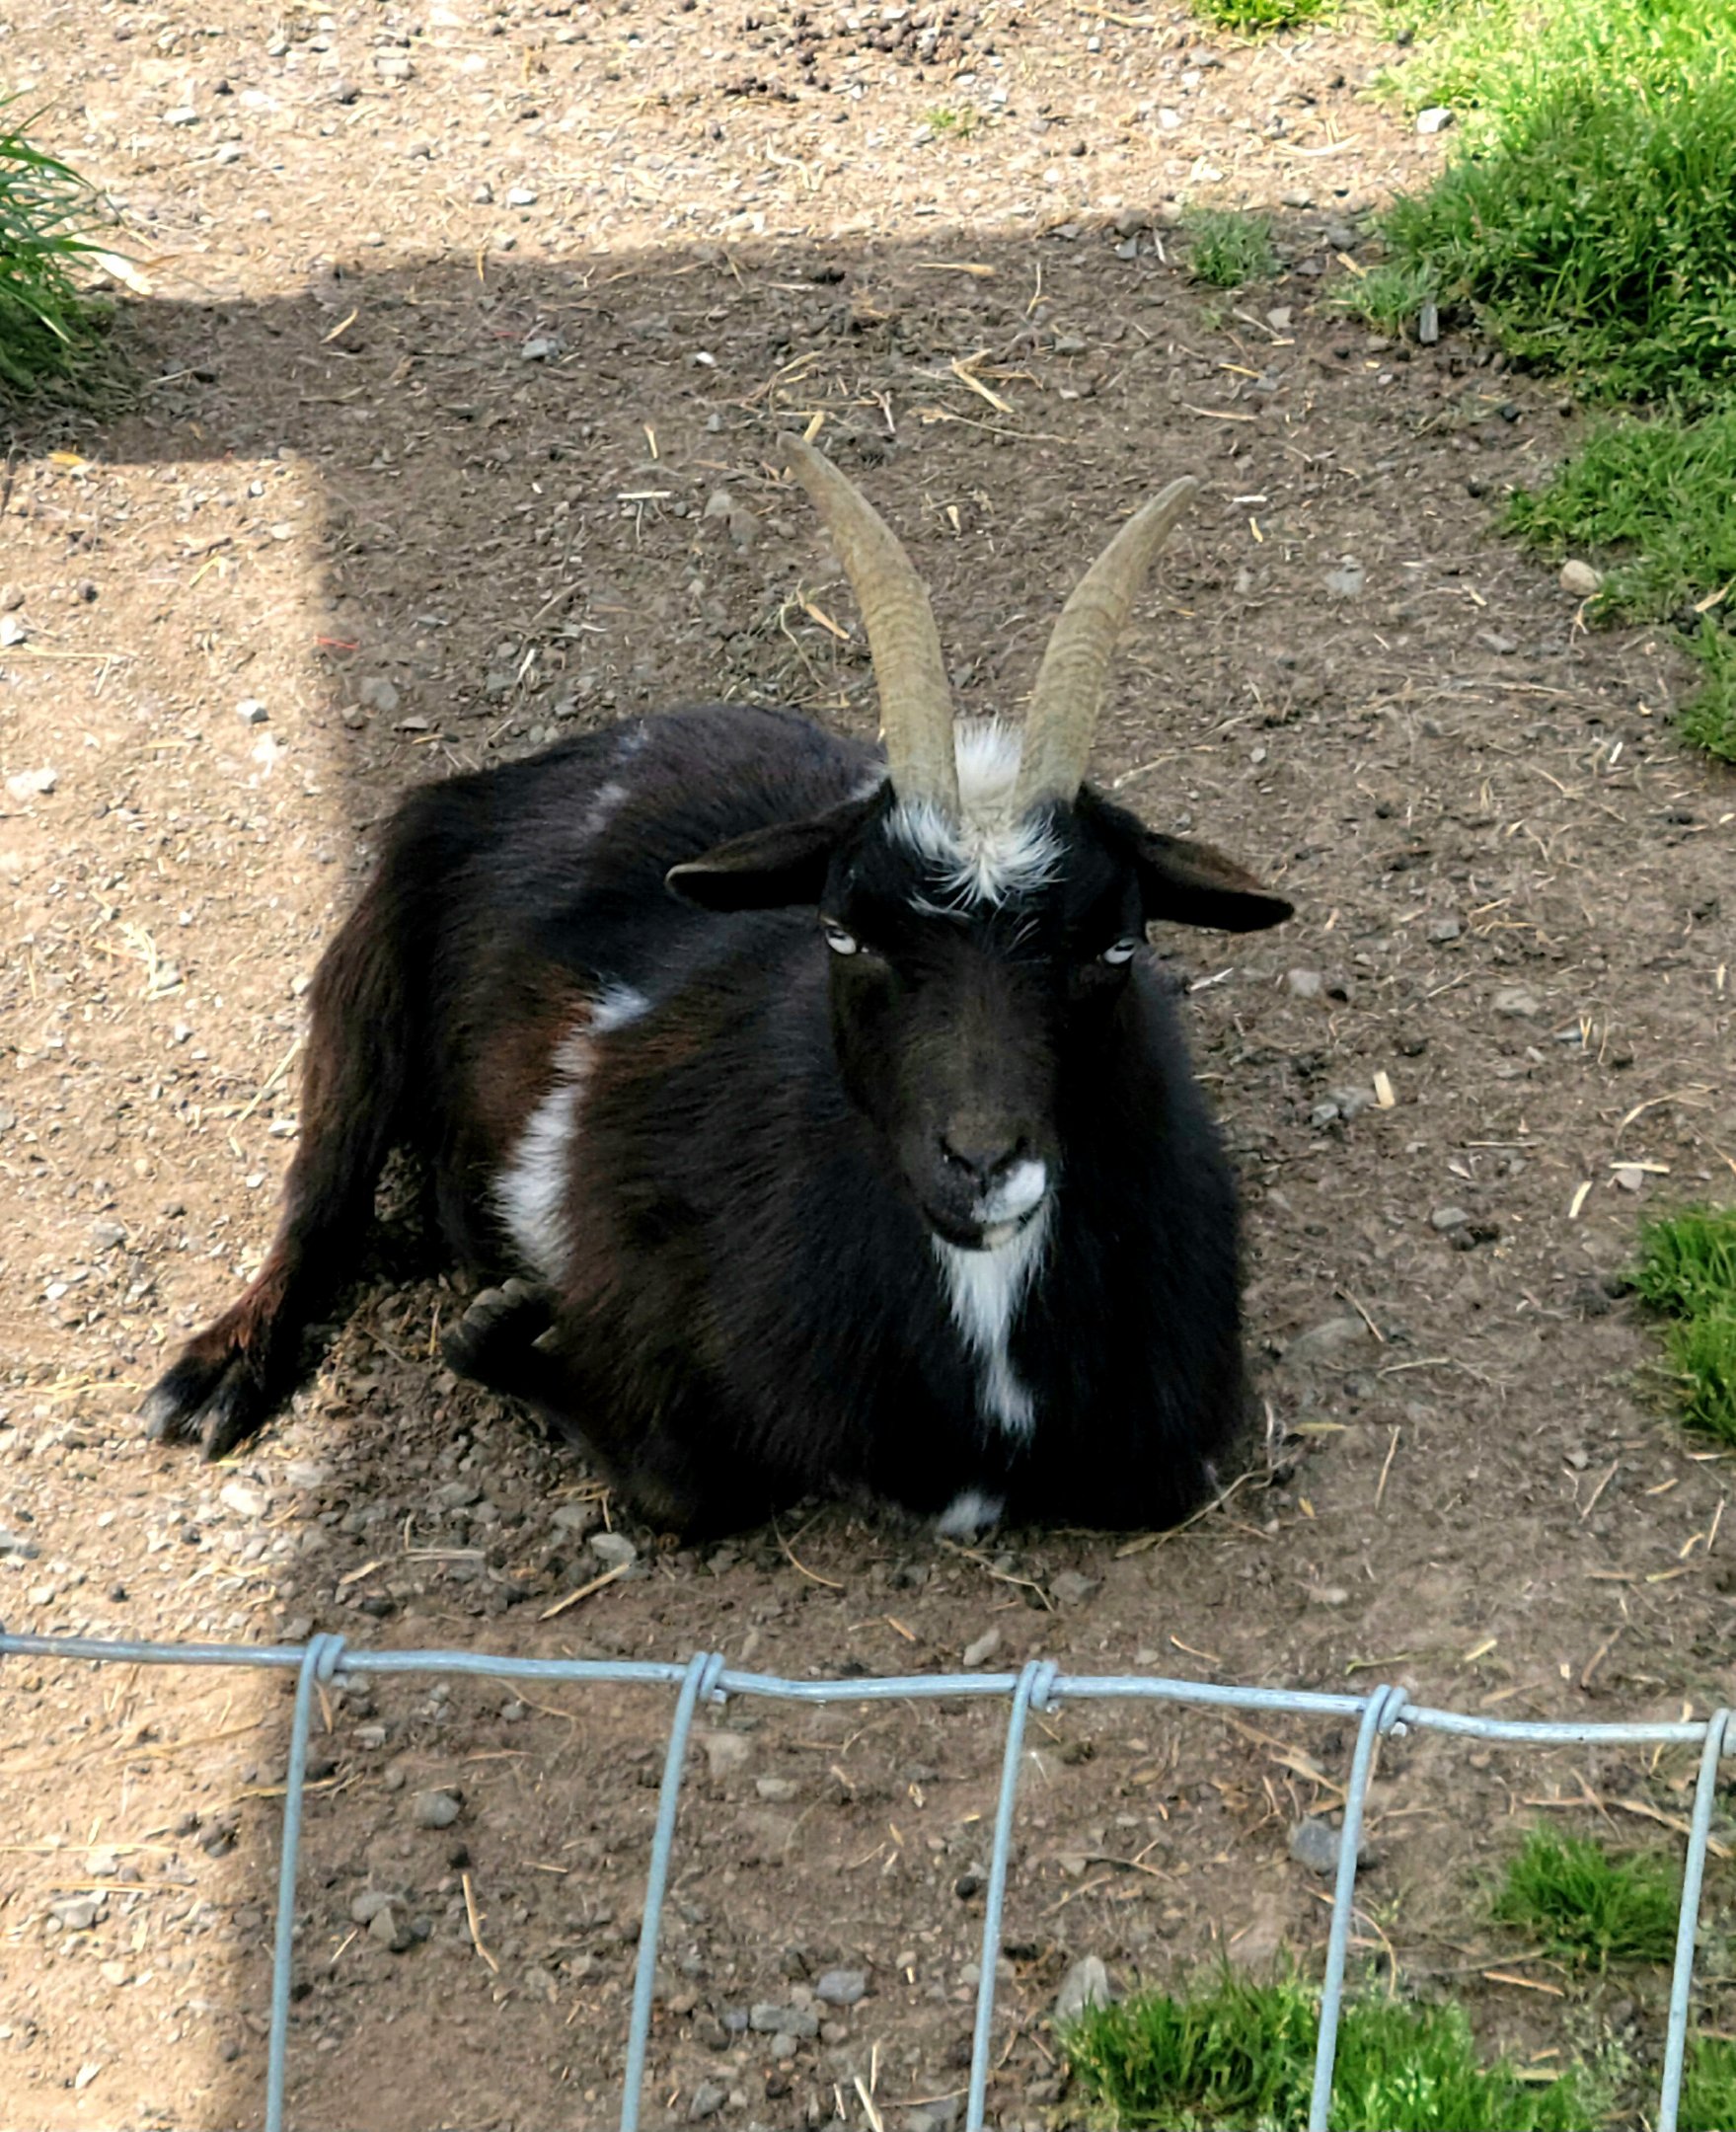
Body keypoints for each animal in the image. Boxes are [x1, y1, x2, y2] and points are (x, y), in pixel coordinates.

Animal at [144, 439, 1292, 1538]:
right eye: (842, 931)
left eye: (1116, 947)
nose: (981, 1167)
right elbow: (685, 1486)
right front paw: (496, 1335)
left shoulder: (1172, 1451)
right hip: (364, 976)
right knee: (320, 1193)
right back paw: (214, 1378)